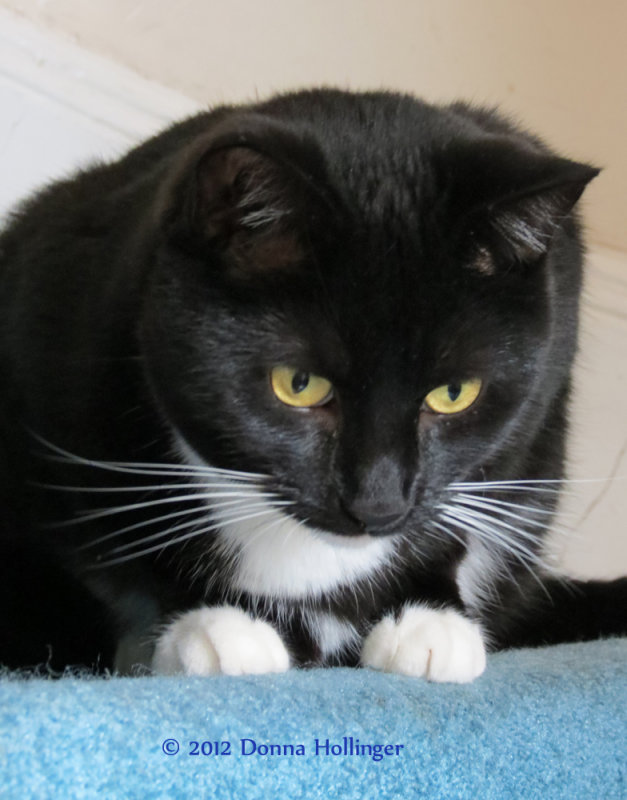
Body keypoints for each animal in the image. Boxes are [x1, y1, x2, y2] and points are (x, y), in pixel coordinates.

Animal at [1, 89, 627, 680]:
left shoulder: (541, 396)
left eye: (454, 394)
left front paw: (426, 621)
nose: (378, 504)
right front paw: (217, 625)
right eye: (298, 384)